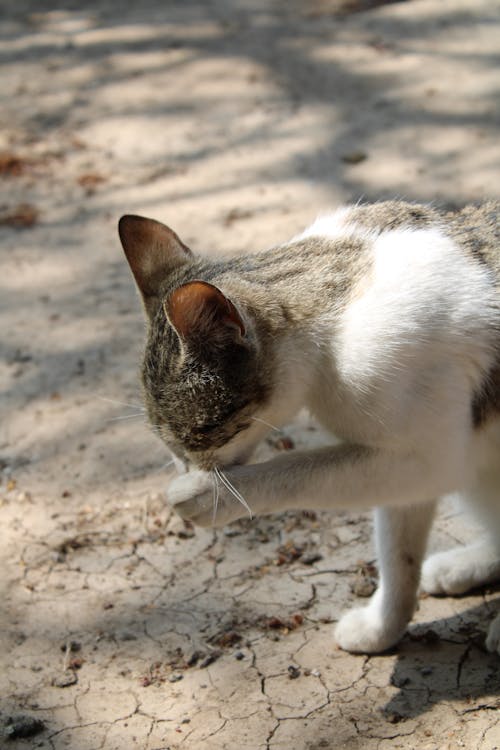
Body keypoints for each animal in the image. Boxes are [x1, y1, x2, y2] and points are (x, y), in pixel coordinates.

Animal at [119, 203, 498, 656]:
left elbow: (298, 471)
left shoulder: (429, 459)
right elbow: (399, 558)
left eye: (199, 433)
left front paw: (208, 495)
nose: (184, 467)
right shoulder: (406, 466)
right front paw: (382, 628)